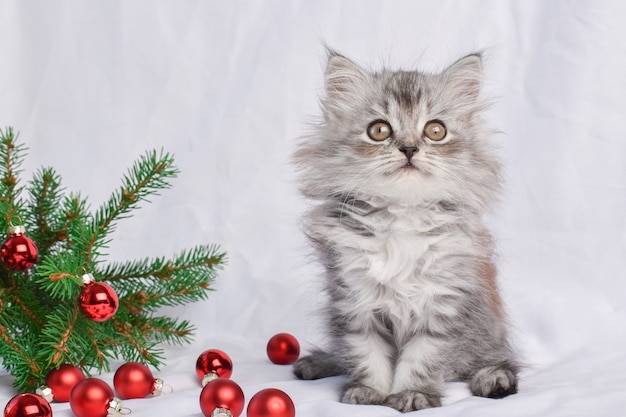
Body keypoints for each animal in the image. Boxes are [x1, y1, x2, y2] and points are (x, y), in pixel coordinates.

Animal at [292, 50, 516, 412]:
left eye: (435, 131)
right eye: (379, 130)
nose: (409, 148)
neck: (401, 216)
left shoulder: (442, 304)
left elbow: (421, 357)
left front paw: (412, 394)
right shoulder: (355, 300)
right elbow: (366, 353)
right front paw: (369, 392)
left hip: (487, 331)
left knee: (496, 359)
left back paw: (493, 378)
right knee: (340, 354)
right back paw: (316, 363)